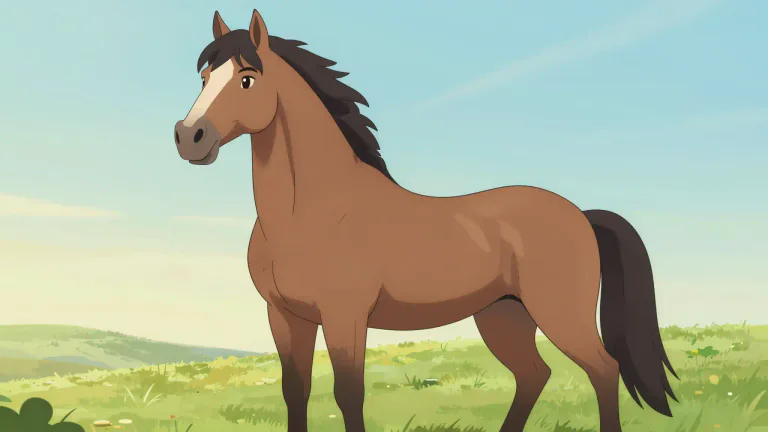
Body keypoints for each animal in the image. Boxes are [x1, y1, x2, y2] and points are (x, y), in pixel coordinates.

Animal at [173, 9, 678, 432]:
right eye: (204, 77)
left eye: (247, 79)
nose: (189, 137)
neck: (310, 213)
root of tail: (581, 215)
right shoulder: (284, 316)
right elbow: (295, 392)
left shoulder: (345, 317)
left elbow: (349, 394)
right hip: (503, 316)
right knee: (535, 374)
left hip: (559, 315)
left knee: (603, 369)